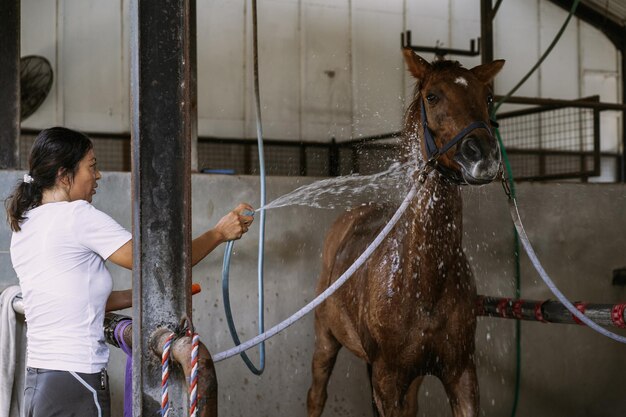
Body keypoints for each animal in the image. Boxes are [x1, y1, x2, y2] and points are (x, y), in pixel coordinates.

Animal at [304, 49, 504, 416]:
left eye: (487, 97)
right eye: (432, 96)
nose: (483, 155)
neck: (423, 283)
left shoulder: (460, 373)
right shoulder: (388, 379)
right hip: (325, 339)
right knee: (316, 395)